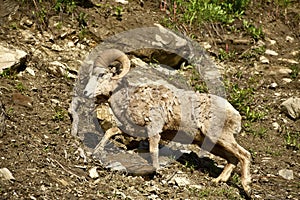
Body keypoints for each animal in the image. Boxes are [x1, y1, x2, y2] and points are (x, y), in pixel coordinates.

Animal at [86, 48, 251, 197]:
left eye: (102, 75)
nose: (86, 93)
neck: (130, 100)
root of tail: (234, 114)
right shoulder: (131, 129)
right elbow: (111, 131)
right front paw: (96, 151)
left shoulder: (154, 130)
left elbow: (153, 150)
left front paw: (157, 171)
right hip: (212, 144)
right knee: (232, 158)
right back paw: (217, 181)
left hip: (219, 137)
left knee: (245, 155)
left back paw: (247, 187)